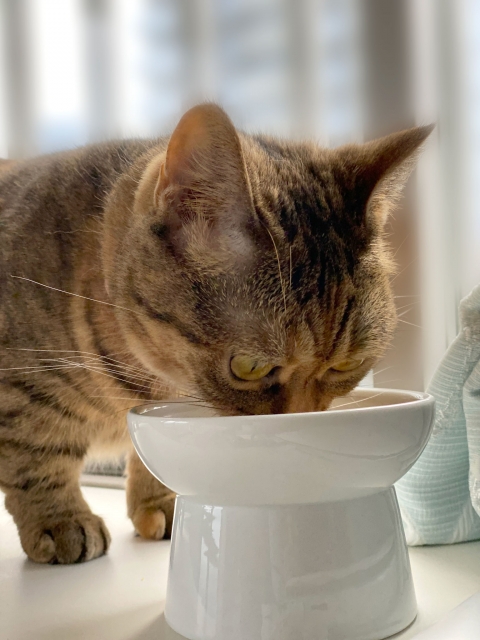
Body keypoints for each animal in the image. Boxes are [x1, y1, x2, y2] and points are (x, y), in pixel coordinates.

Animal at [0, 102, 434, 564]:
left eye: (345, 366)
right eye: (249, 367)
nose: (301, 419)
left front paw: (161, 502)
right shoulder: (21, 387)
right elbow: (36, 453)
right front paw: (61, 520)